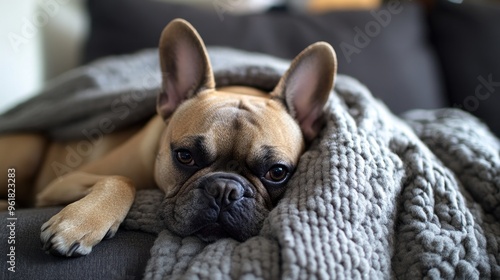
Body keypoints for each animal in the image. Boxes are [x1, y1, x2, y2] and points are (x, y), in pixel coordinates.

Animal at [0, 18, 338, 258]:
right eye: (185, 156)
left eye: (277, 172)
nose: (225, 189)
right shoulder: (58, 185)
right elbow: (121, 179)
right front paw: (80, 225)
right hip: (29, 150)